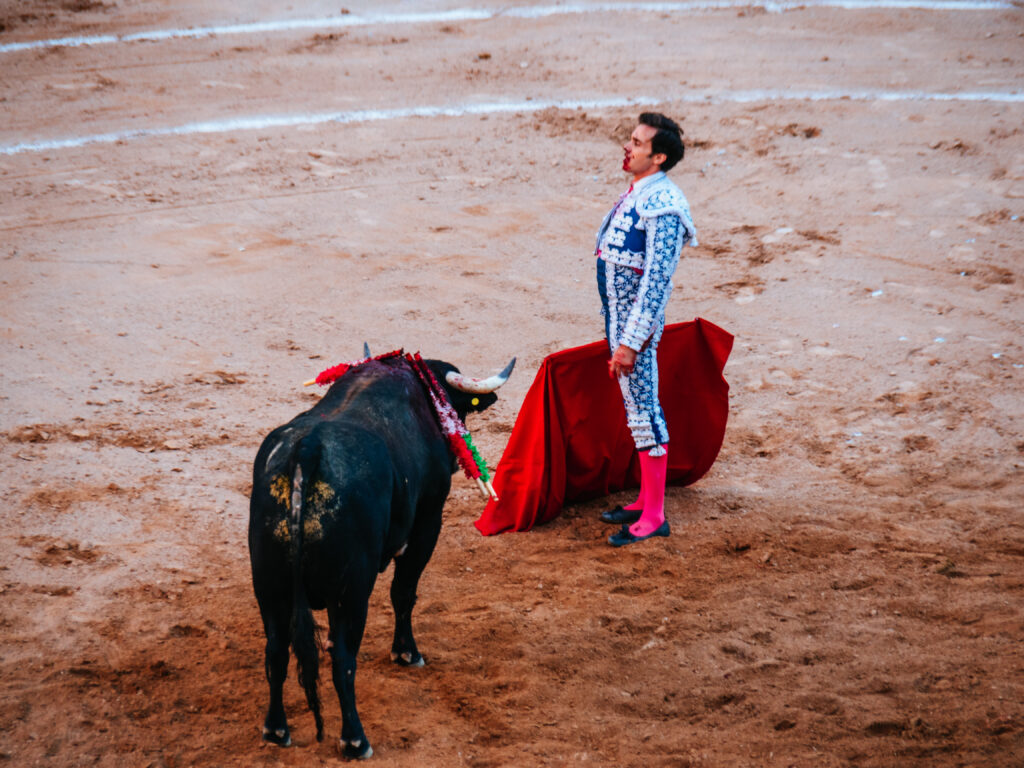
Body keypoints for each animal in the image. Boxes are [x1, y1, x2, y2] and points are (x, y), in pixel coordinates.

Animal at [247, 354, 512, 757]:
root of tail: (307, 450)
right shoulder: (426, 524)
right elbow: (404, 592)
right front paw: (406, 652)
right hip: (353, 589)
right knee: (344, 660)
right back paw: (355, 740)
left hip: (268, 585)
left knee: (275, 651)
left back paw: (276, 730)